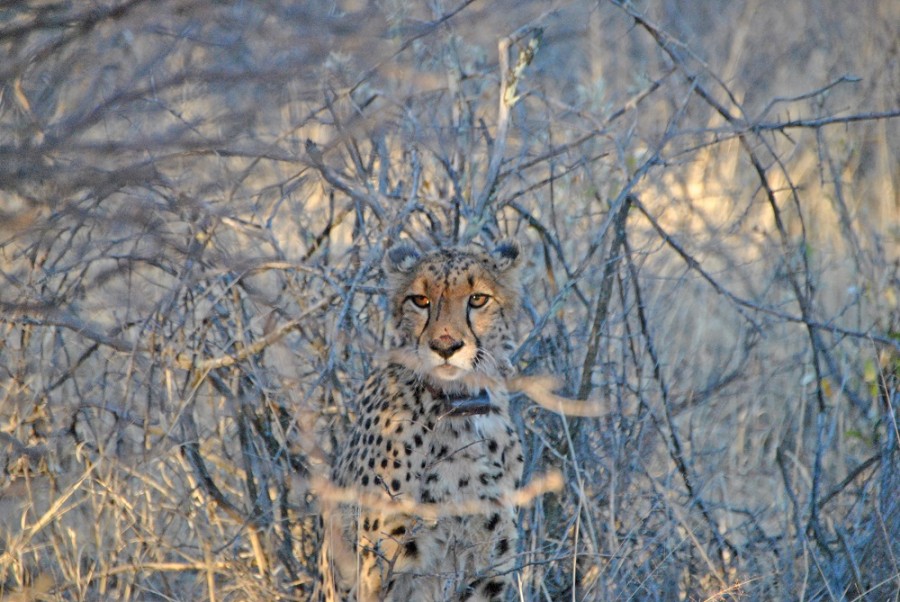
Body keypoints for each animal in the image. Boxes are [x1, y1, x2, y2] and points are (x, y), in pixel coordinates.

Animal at [318, 240, 524, 600]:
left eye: (477, 299)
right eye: (421, 300)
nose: (445, 346)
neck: (456, 408)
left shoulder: (487, 574)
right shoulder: (380, 573)